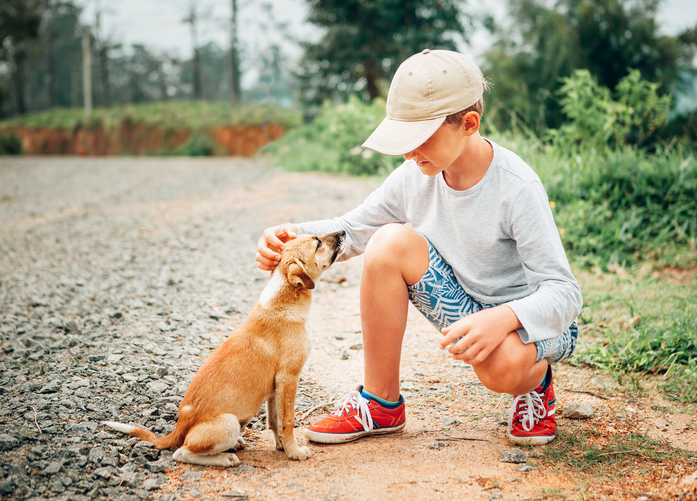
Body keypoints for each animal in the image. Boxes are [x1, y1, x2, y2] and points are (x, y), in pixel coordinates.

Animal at [102, 230, 346, 464]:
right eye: (318, 243)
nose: (344, 231)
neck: (283, 301)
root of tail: (179, 428)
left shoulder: (276, 387)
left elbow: (274, 421)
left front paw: (282, 447)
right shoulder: (289, 378)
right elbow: (287, 421)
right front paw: (294, 452)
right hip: (229, 423)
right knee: (181, 453)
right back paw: (226, 458)